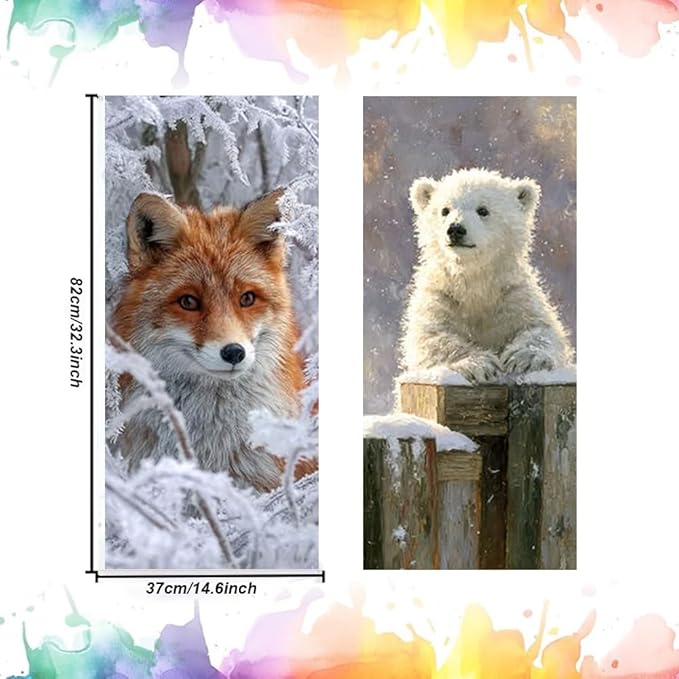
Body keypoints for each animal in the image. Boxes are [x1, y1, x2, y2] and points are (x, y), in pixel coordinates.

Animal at [400, 168, 573, 384]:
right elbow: (430, 335)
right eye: (444, 210)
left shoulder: (511, 293)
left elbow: (542, 327)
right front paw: (480, 364)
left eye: (483, 210)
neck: (475, 279)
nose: (455, 229)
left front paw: (525, 357)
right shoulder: (442, 295)